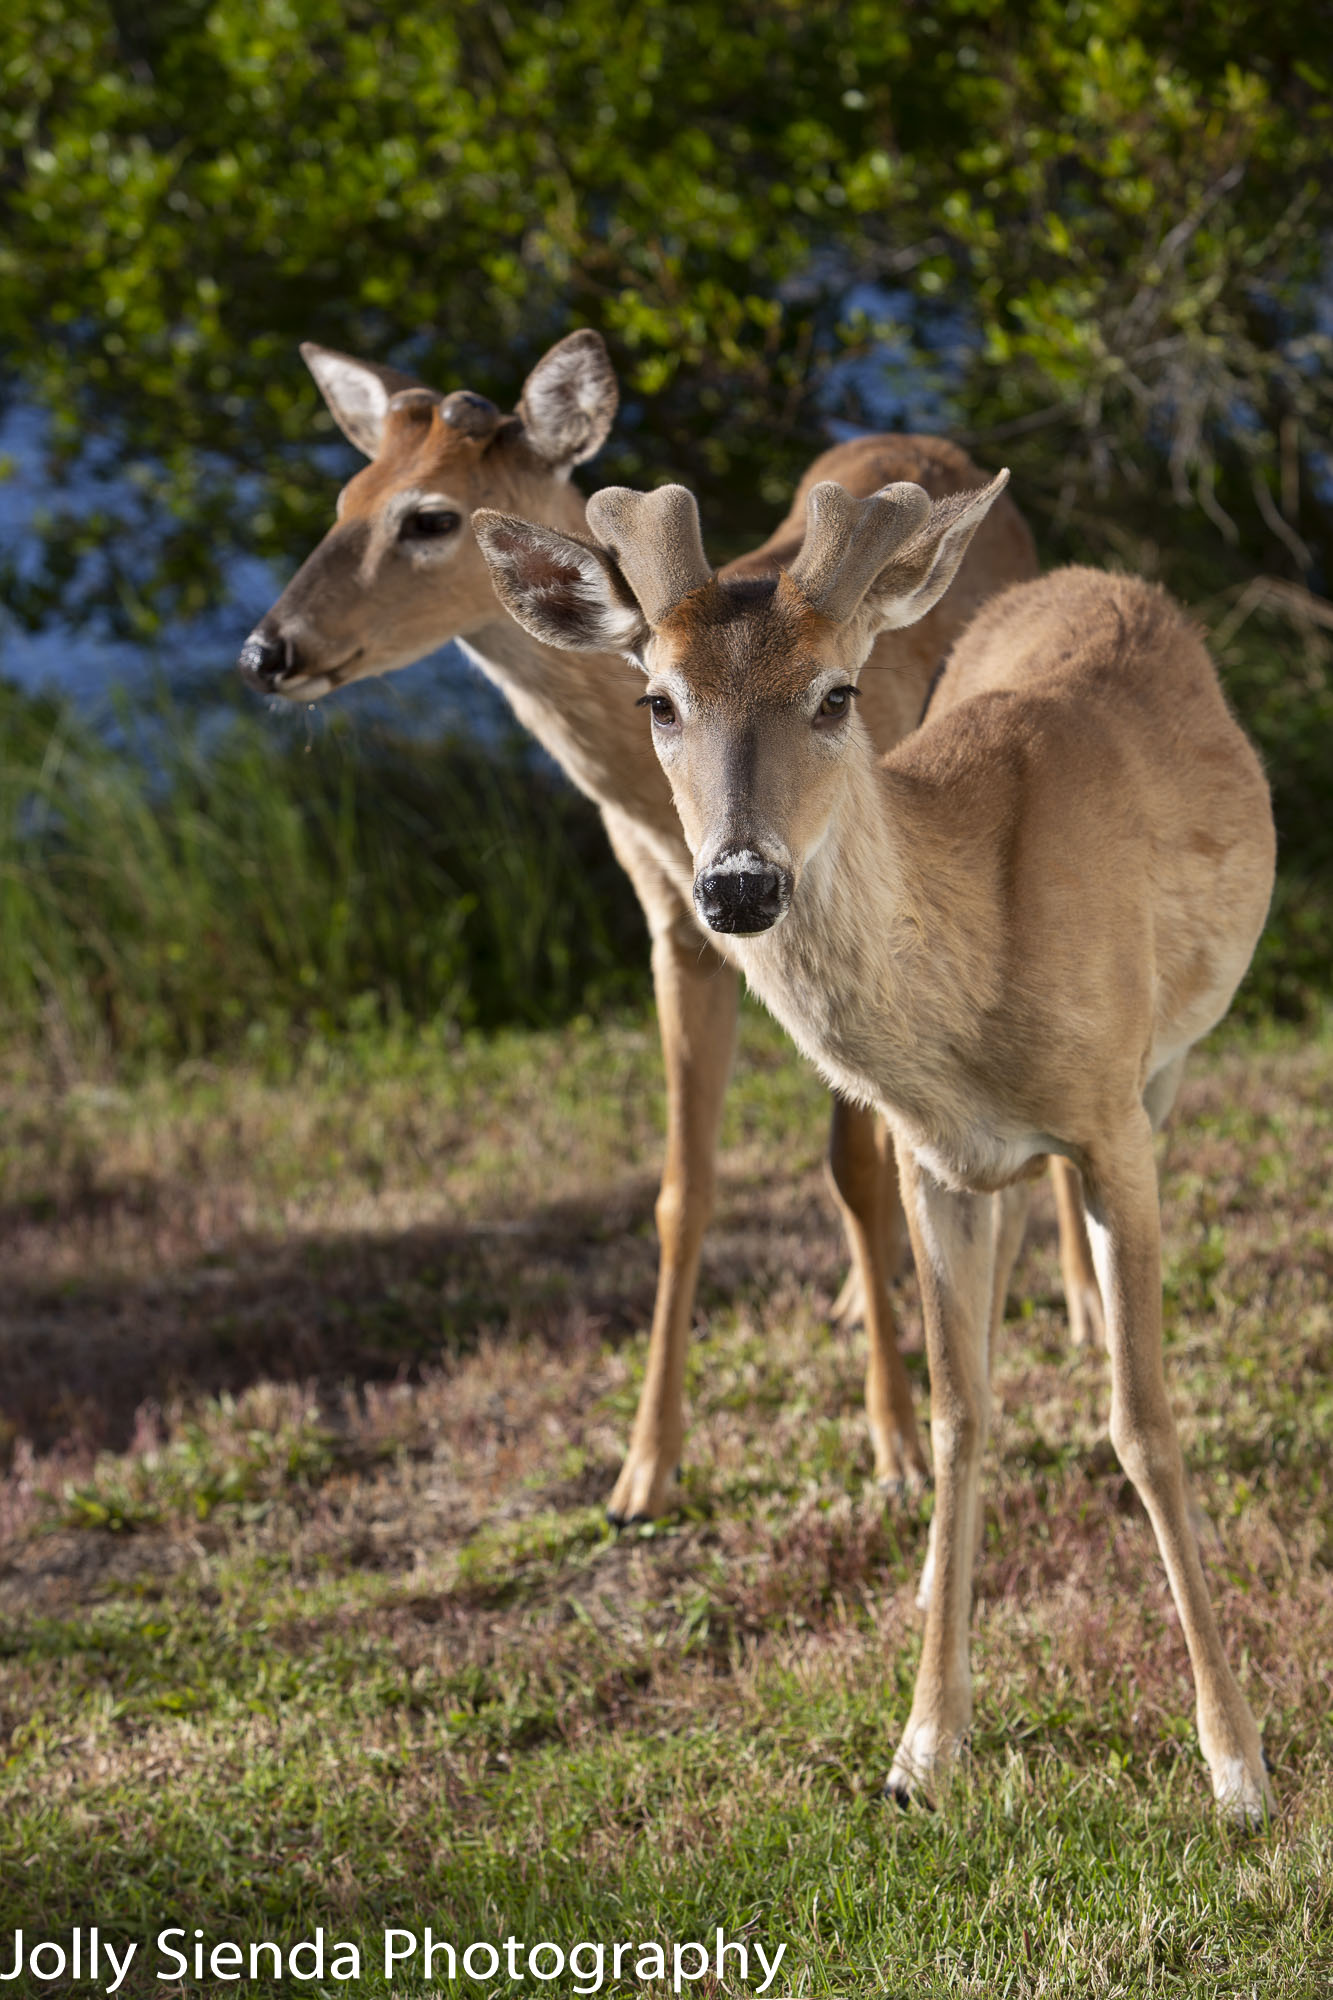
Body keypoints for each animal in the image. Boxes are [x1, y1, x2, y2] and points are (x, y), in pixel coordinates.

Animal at [236, 328, 1096, 1520]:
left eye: (428, 517)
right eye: (343, 497)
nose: (266, 652)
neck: (655, 804)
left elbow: (854, 1163)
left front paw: (895, 1443)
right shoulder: (671, 928)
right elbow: (682, 1191)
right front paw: (643, 1467)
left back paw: (1070, 1302)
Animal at [474, 472, 1280, 1832]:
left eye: (835, 693)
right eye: (656, 698)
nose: (738, 884)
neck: (975, 982)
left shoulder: (1114, 1124)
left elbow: (1144, 1421)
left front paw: (1237, 1766)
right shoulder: (928, 1153)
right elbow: (958, 1414)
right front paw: (921, 1747)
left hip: (1166, 1067)